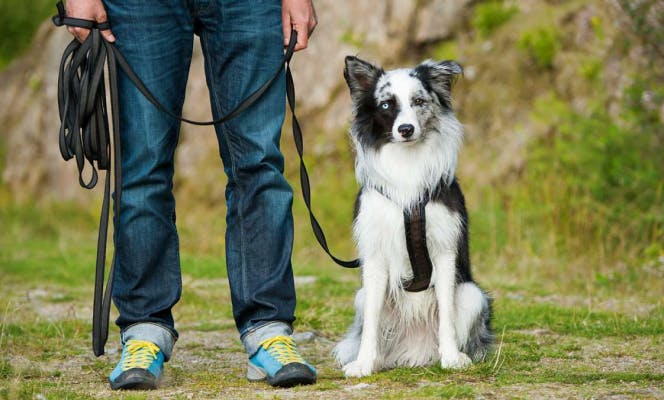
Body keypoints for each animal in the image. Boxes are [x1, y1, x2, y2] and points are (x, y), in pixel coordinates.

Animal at [332, 56, 492, 378]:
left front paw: (451, 358)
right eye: (385, 105)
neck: (406, 163)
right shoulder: (375, 255)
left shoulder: (444, 251)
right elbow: (371, 324)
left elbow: (446, 313)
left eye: (418, 101)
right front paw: (364, 363)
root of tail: (414, 350)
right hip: (361, 296)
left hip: (473, 295)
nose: (405, 129)